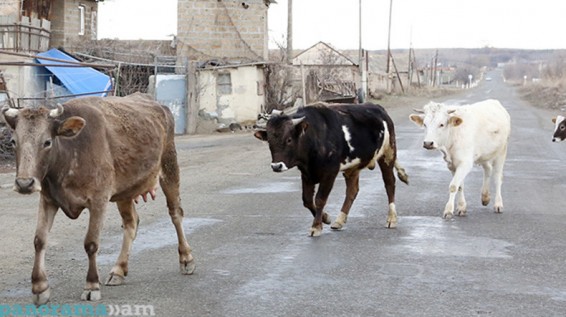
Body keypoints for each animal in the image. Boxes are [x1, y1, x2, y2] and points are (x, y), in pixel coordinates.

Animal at [1, 92, 195, 304]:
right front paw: (39, 287)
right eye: (13, 142)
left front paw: (92, 285)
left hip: (169, 166)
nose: (24, 183)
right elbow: (39, 240)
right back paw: (119, 270)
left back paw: (187, 259)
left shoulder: (99, 200)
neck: (70, 154)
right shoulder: (48, 200)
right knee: (131, 223)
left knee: (176, 213)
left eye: (47, 142)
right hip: (125, 190)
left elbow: (91, 243)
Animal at [255, 102, 410, 236]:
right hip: (354, 166)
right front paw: (325, 218)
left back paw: (391, 218)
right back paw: (339, 221)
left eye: (288, 139)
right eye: (269, 141)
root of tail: (377, 107)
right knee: (352, 191)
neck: (314, 137)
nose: (276, 166)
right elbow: (307, 200)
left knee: (389, 183)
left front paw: (316, 227)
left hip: (388, 153)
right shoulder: (306, 174)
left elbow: (320, 199)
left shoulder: (330, 173)